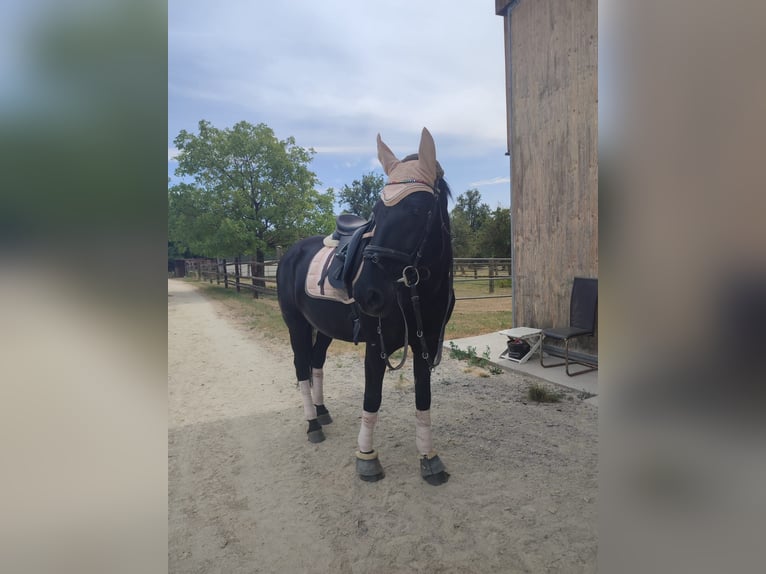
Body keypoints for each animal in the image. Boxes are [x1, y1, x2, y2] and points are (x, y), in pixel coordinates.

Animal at [278, 129, 452, 486]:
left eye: (417, 210)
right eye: (376, 213)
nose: (366, 293)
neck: (416, 292)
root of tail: (291, 252)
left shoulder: (425, 344)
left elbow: (423, 398)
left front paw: (428, 458)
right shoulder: (376, 345)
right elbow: (372, 397)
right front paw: (367, 458)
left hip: (323, 328)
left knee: (316, 363)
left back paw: (322, 411)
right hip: (296, 324)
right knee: (301, 366)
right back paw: (312, 423)